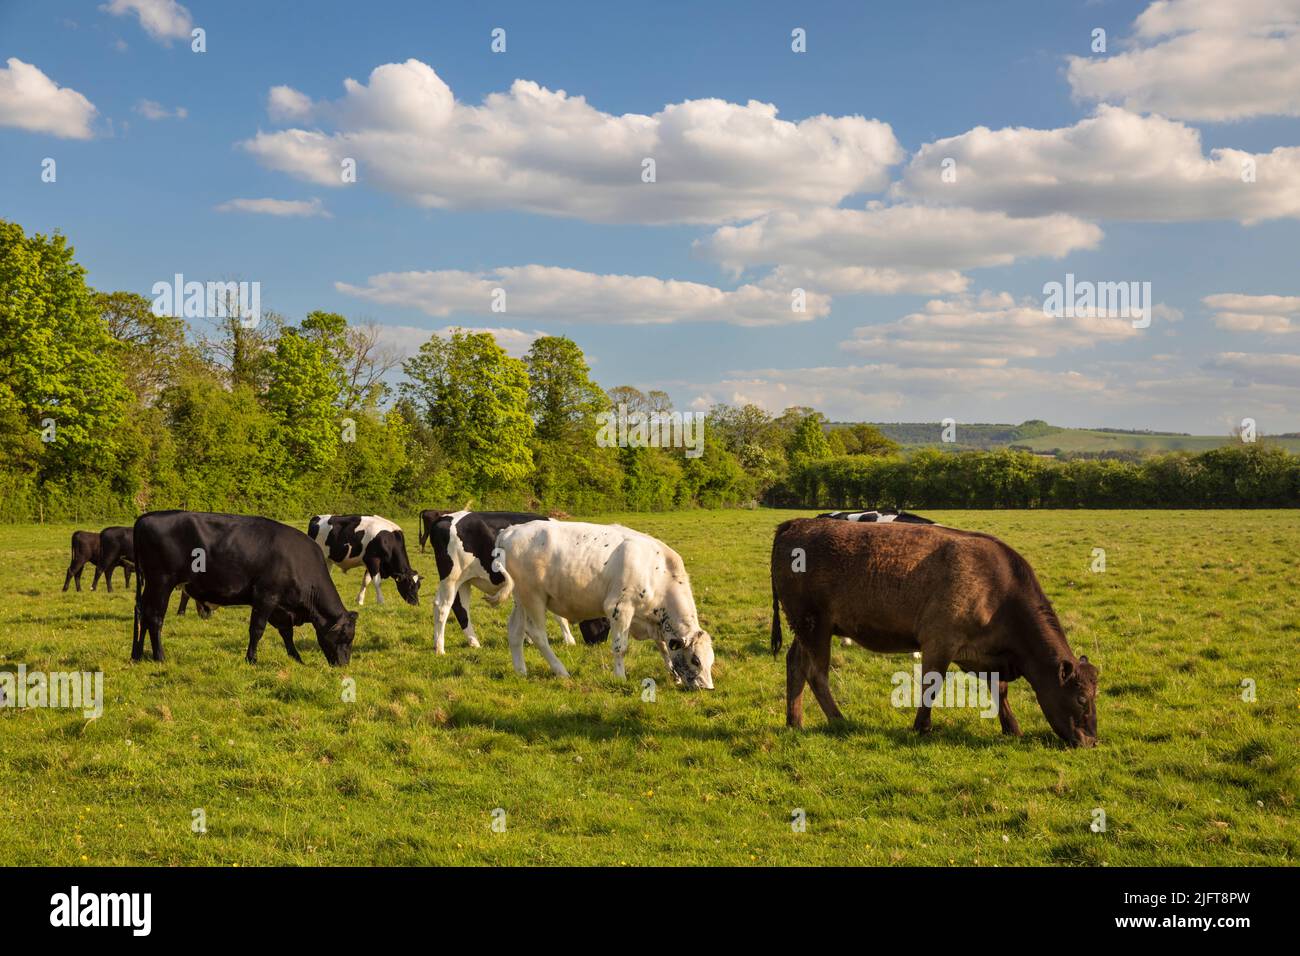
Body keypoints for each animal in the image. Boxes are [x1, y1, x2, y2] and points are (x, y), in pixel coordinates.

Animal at [132, 509, 358, 665]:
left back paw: (137, 653)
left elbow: (286, 633)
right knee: (154, 617)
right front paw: (252, 659)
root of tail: (146, 517)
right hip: (161, 581)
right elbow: (257, 629)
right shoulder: (266, 597)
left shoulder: (280, 607)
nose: (343, 665)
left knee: (142, 613)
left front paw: (297, 658)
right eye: (345, 637)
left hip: (150, 584)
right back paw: (159, 656)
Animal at [426, 512, 608, 655]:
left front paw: (528, 638)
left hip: (464, 581)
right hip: (452, 577)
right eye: (606, 621)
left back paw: (472, 643)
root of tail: (444, 518)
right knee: (443, 607)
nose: (600, 642)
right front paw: (569, 640)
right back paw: (440, 649)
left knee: (459, 608)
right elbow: (559, 616)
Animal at [491, 522, 717, 686]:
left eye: (711, 661)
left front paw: (674, 675)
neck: (659, 571)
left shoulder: (653, 621)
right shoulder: (620, 608)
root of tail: (511, 530)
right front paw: (620, 676)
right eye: (695, 660)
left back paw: (521, 671)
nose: (708, 688)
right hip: (534, 597)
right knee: (537, 634)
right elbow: (620, 647)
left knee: (515, 630)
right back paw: (561, 670)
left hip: (520, 599)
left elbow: (663, 647)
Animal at [769, 515, 1097, 749]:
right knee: (816, 673)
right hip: (815, 624)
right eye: (1081, 698)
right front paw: (921, 727)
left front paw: (1012, 728)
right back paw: (839, 720)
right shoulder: (939, 642)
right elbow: (932, 685)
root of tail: (797, 524)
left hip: (804, 627)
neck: (999, 593)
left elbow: (999, 690)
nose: (1092, 741)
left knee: (795, 663)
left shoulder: (987, 655)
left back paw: (794, 721)